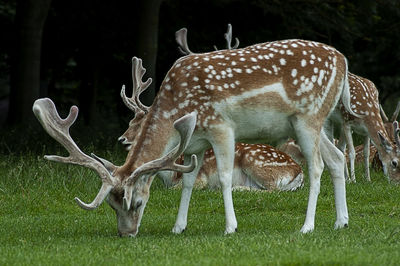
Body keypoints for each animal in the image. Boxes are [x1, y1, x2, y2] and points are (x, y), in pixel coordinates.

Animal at [36, 32, 358, 236]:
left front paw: (230, 227)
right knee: (336, 157)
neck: (175, 107)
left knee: (316, 166)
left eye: (135, 203)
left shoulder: (221, 126)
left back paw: (307, 226)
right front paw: (178, 227)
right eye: (111, 205)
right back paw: (341, 222)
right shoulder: (196, 140)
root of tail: (343, 60)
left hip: (308, 117)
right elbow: (189, 181)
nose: (126, 234)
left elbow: (225, 177)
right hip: (312, 122)